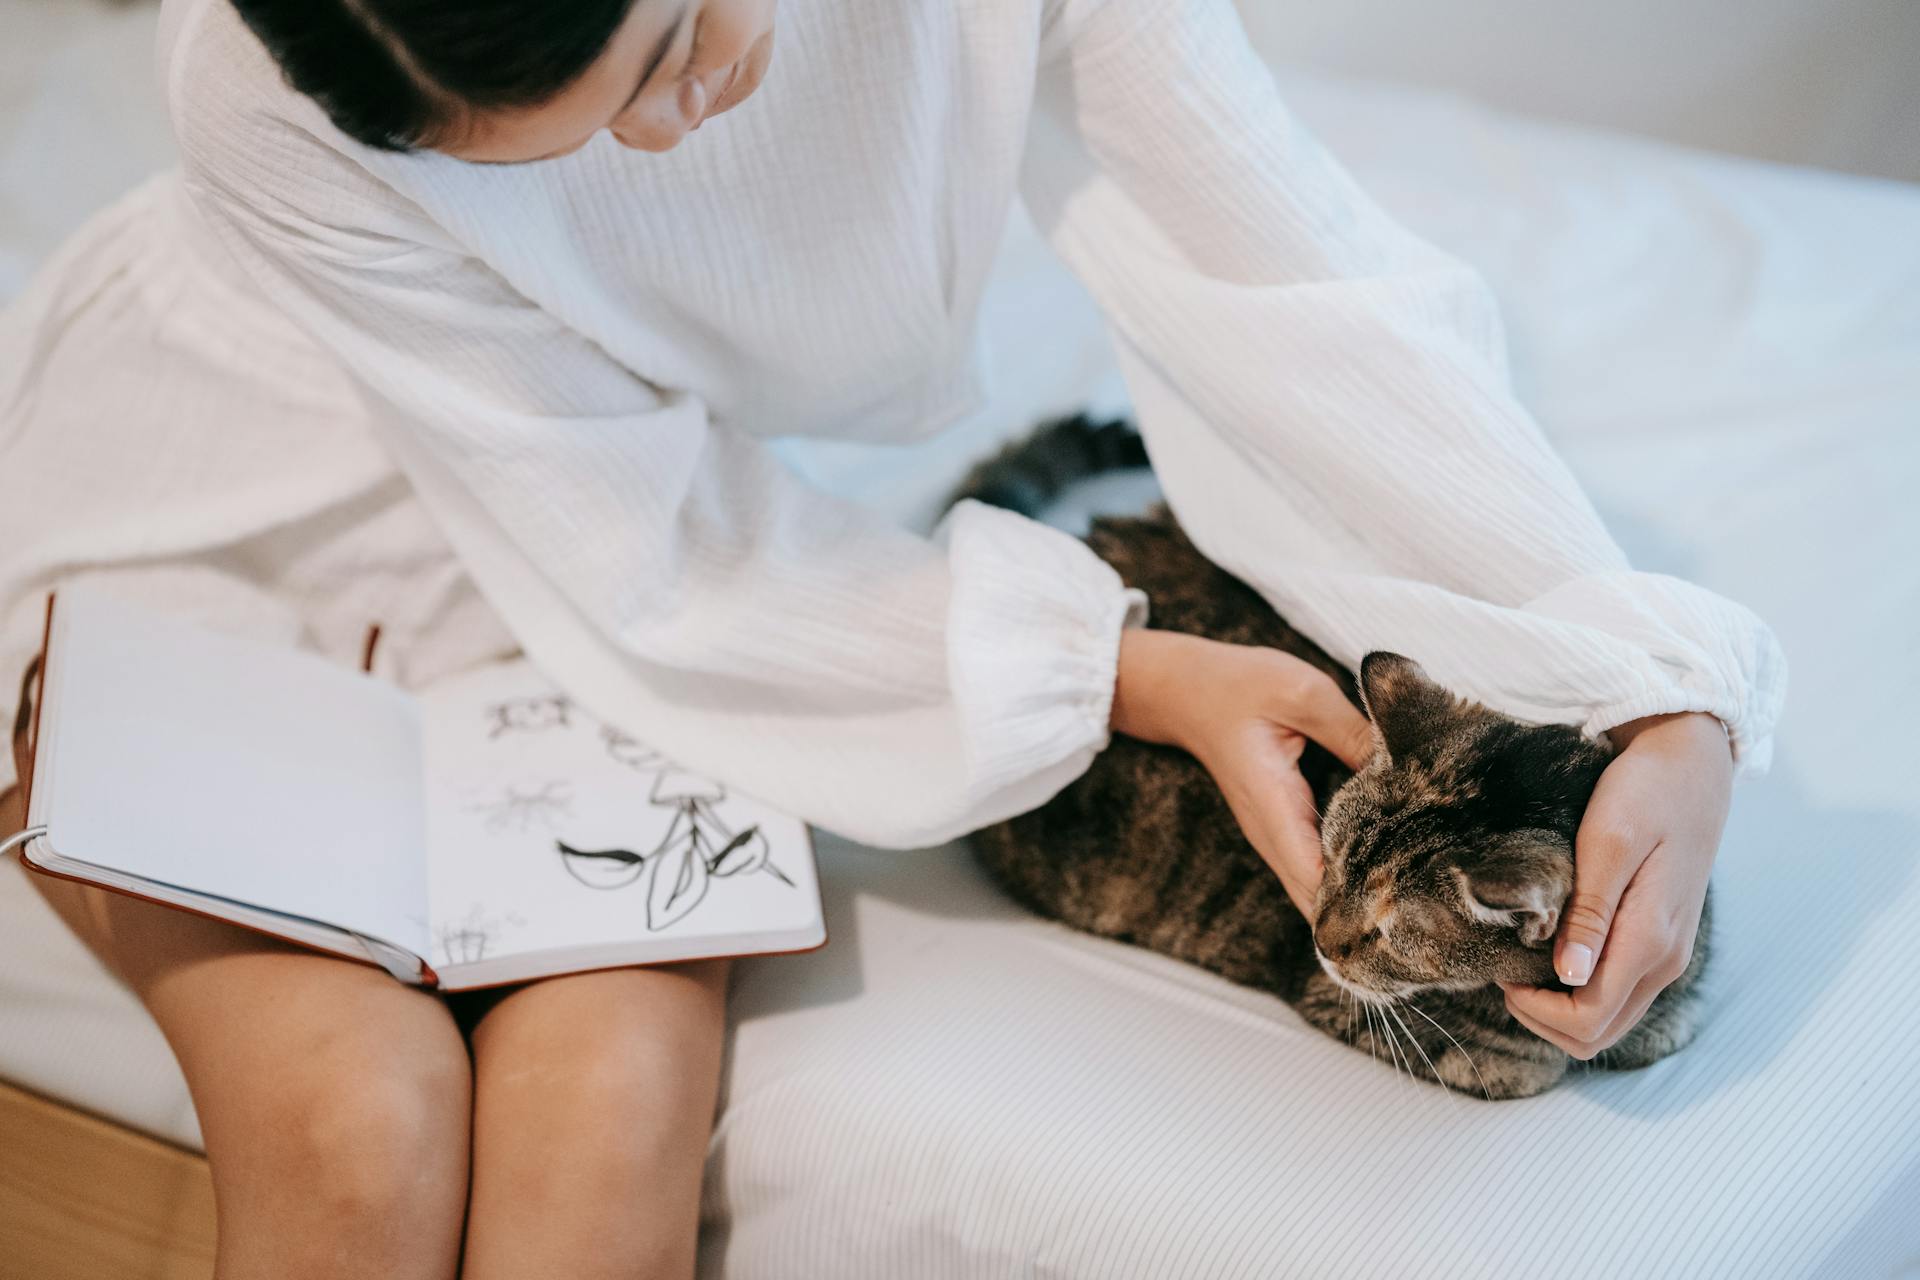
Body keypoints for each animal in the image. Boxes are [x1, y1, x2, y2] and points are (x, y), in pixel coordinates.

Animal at [960, 416, 1712, 1097]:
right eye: (1331, 864)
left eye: (1390, 934)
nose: (1320, 939)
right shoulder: (1363, 1009)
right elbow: (1514, 1064)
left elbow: (1670, 1021)